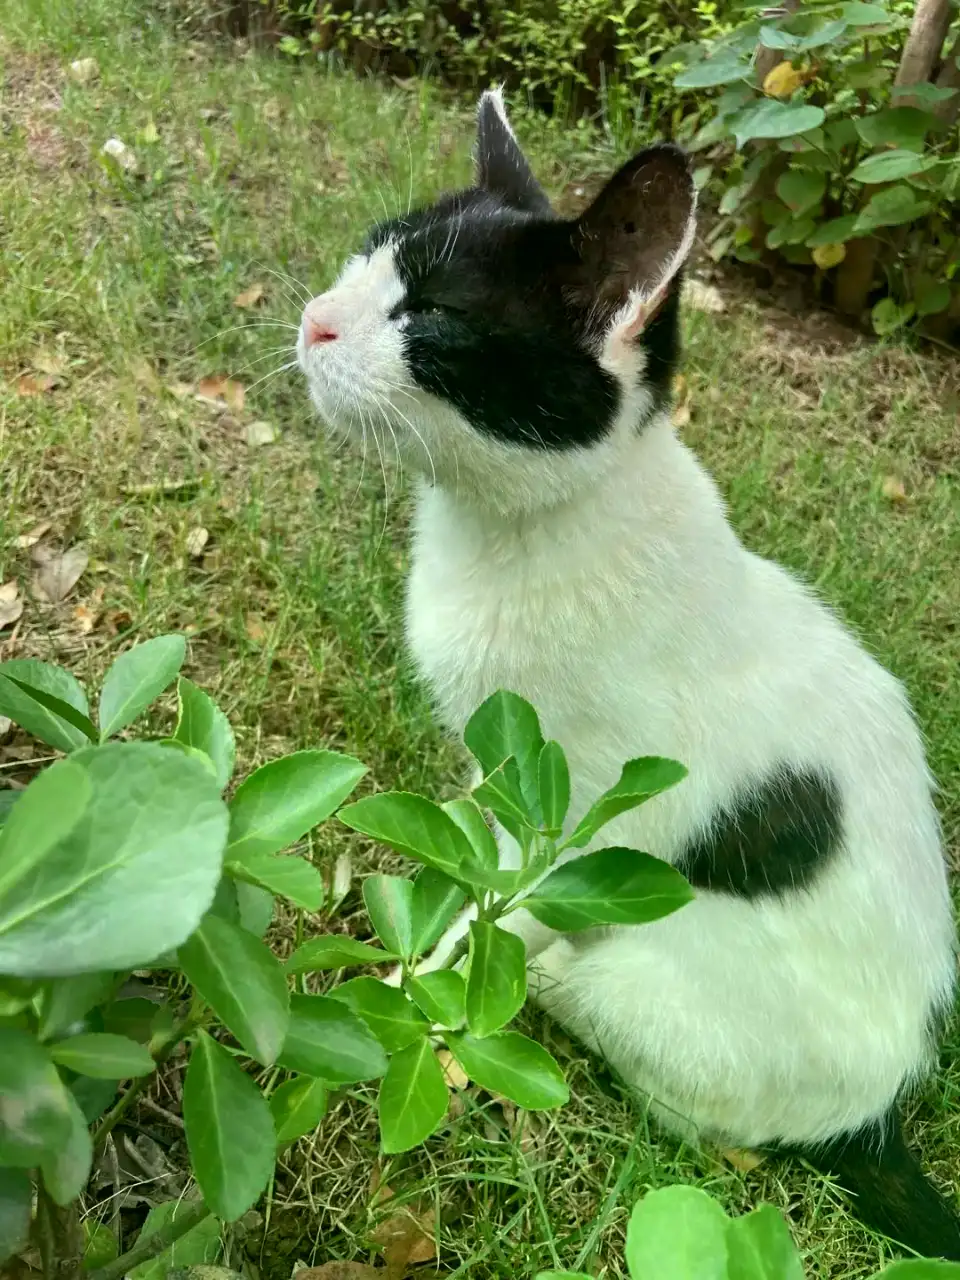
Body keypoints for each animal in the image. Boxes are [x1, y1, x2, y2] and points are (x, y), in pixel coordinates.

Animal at [300, 90, 960, 1259]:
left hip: (663, 984)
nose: (312, 319)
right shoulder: (505, 768)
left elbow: (506, 907)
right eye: (359, 265)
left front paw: (409, 996)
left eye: (430, 316)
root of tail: (882, 1109)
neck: (518, 536)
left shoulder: (588, 812)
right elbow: (478, 842)